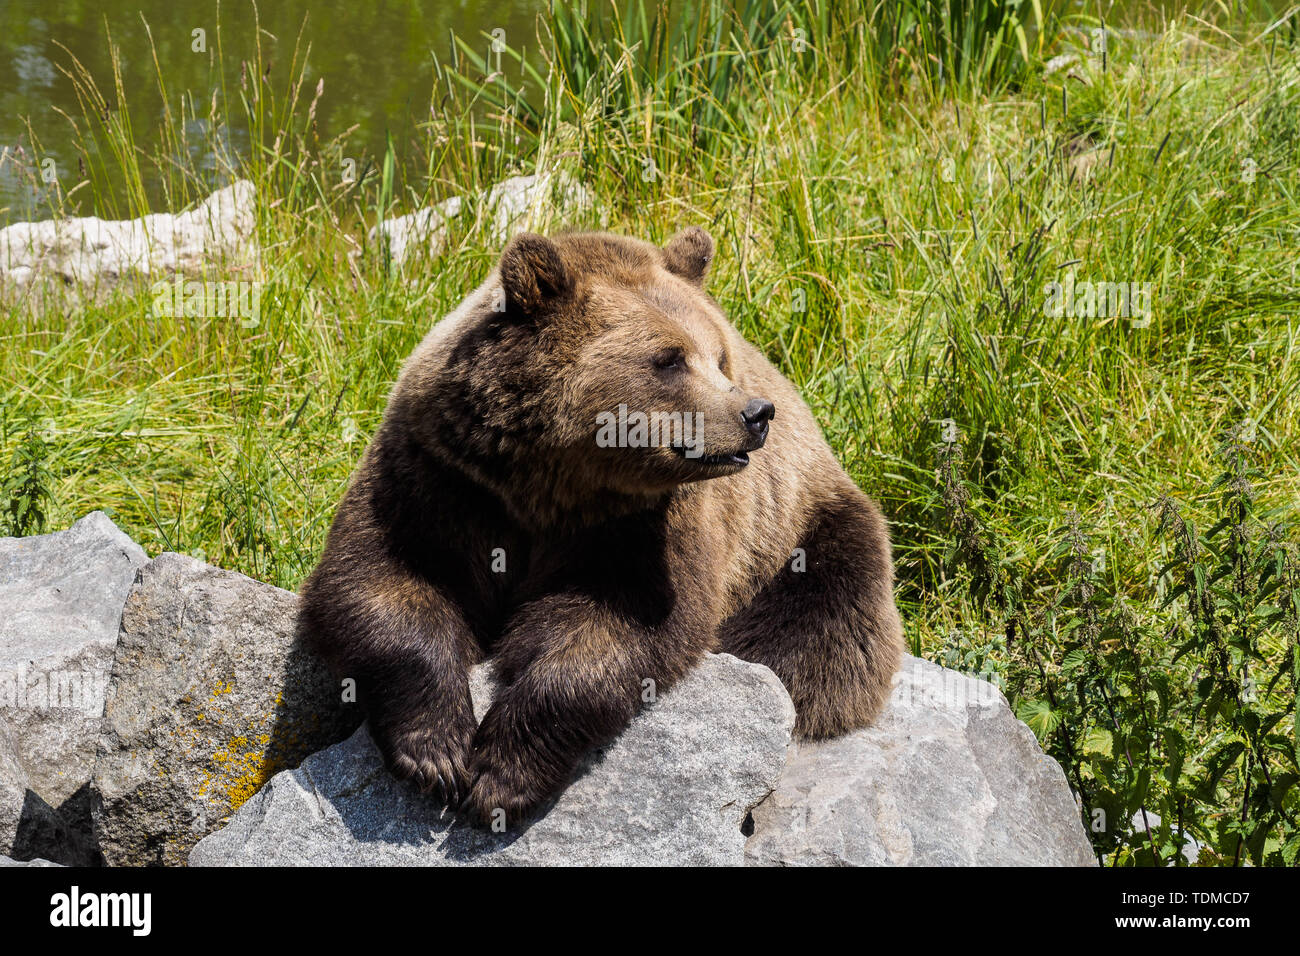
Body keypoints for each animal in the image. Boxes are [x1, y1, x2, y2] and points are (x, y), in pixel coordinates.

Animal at [297, 227, 903, 825]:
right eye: (670, 359)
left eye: (719, 357)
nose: (755, 413)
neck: (551, 483)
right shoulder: (442, 477)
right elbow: (384, 579)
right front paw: (437, 753)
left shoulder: (646, 525)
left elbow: (620, 624)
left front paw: (503, 773)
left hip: (799, 532)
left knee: (816, 634)